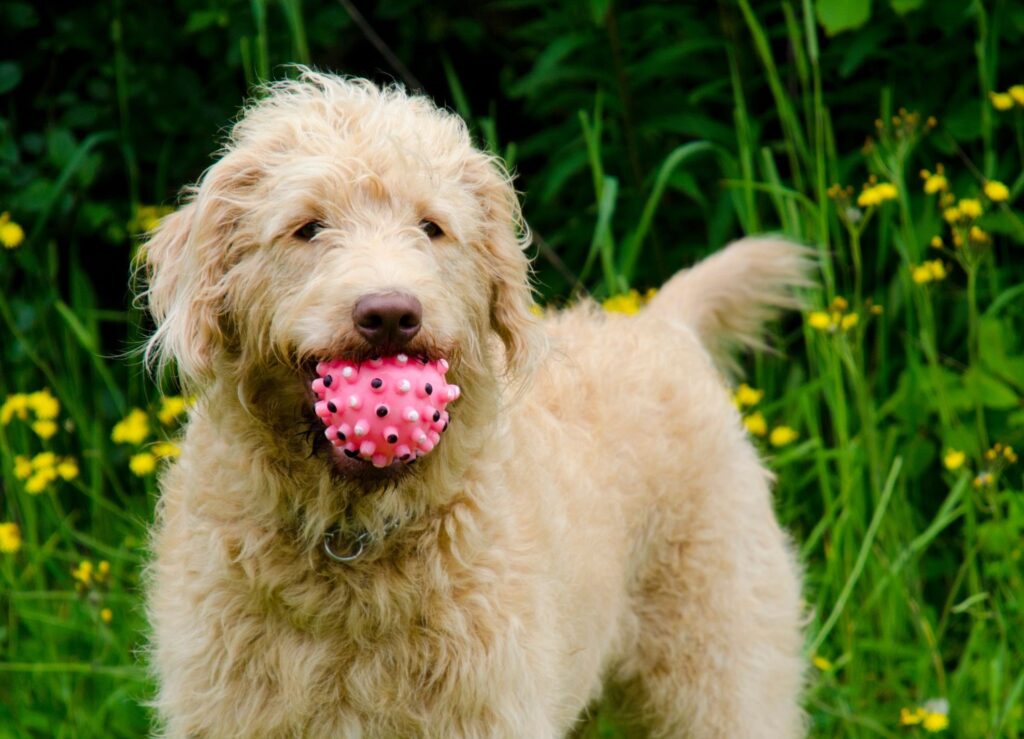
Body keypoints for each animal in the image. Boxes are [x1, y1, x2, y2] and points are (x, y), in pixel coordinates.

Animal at [142, 67, 806, 732]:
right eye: (308, 227)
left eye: (431, 227)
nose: (390, 315)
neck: (352, 536)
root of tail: (661, 324)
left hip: (720, 670)